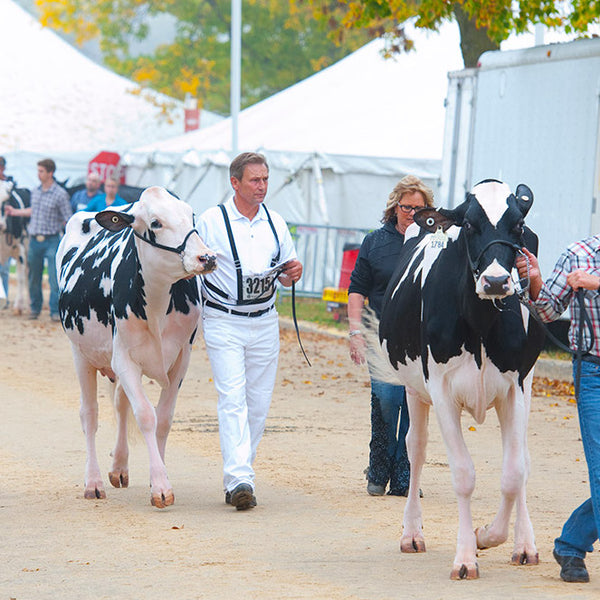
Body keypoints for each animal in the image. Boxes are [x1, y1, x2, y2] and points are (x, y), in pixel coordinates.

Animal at [57, 186, 217, 506]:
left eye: (191, 214)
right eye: (155, 223)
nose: (206, 257)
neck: (157, 303)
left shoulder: (181, 358)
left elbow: (163, 419)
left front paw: (160, 476)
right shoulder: (124, 359)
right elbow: (145, 415)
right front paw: (161, 487)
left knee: (120, 404)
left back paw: (119, 466)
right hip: (80, 352)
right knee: (89, 414)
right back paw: (93, 482)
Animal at [382, 179, 548, 580]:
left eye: (518, 225)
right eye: (469, 225)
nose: (497, 281)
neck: (481, 321)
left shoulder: (517, 386)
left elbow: (513, 473)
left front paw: (487, 536)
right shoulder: (441, 390)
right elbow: (462, 473)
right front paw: (465, 557)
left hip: (523, 387)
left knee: (520, 459)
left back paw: (524, 545)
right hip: (413, 388)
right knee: (416, 447)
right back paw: (412, 534)